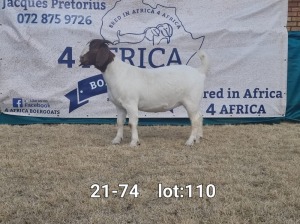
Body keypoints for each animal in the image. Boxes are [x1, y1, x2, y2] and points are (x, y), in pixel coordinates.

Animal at [81, 39, 210, 147]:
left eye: (93, 49)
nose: (81, 59)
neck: (118, 73)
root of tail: (200, 72)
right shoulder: (119, 106)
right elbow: (119, 122)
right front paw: (117, 140)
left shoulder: (131, 103)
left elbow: (132, 123)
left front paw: (134, 142)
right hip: (195, 102)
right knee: (200, 116)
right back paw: (198, 138)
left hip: (191, 101)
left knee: (195, 119)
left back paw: (190, 141)